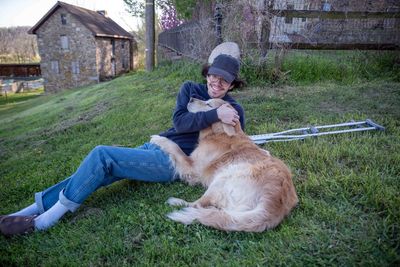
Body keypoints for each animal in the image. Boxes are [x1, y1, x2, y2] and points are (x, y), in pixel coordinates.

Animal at [152, 98, 298, 232]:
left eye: (209, 104)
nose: (191, 98)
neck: (219, 132)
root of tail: (274, 203)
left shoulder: (193, 168)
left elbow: (176, 148)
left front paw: (159, 139)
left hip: (223, 177)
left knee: (196, 204)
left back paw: (176, 201)